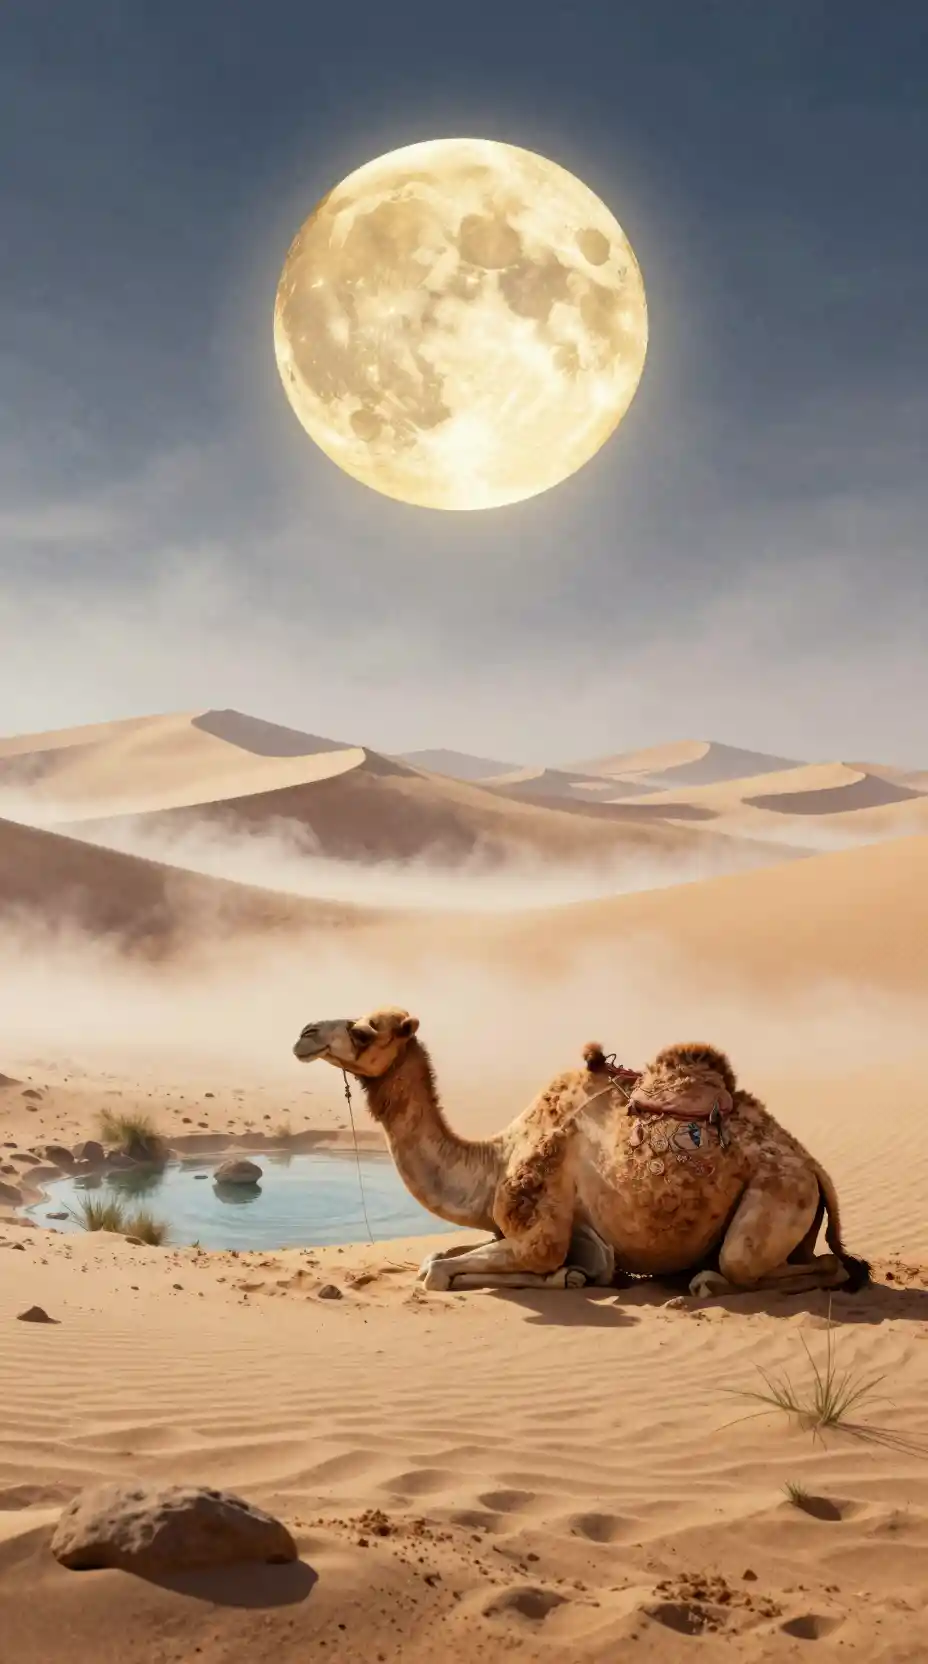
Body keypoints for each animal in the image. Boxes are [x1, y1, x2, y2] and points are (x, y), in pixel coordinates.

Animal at [292, 1007, 870, 1298]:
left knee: (787, 1265)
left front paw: (566, 1275)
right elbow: (434, 1258)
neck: (494, 1160)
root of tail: (814, 1168)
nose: (304, 1032)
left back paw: (707, 1280)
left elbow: (440, 1272)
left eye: (364, 1031)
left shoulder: (538, 1227)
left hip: (778, 1196)